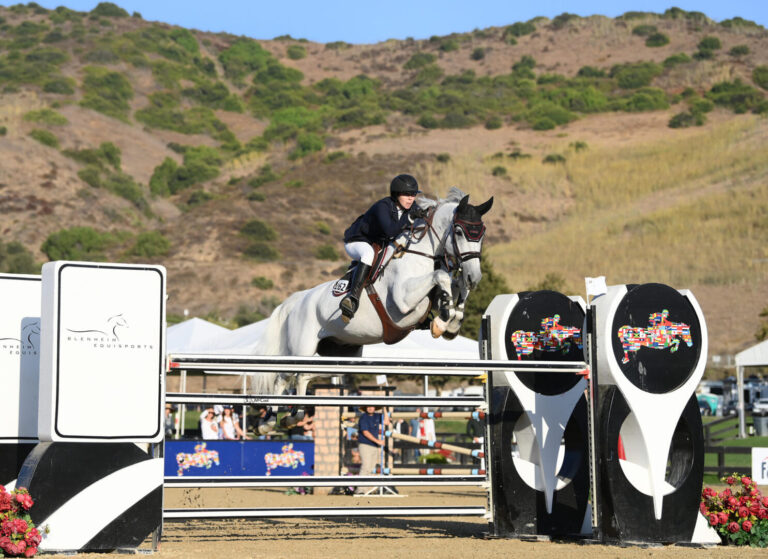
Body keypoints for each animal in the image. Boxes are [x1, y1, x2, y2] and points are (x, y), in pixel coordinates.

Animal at [250, 190, 492, 414]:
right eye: (459, 231)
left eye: (482, 234)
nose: (474, 277)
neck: (420, 253)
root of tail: (297, 301)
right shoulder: (403, 301)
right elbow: (441, 277)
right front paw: (443, 322)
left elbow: (454, 287)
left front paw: (452, 321)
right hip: (302, 349)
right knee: (282, 377)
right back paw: (272, 418)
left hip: (341, 358)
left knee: (303, 376)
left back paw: (298, 412)